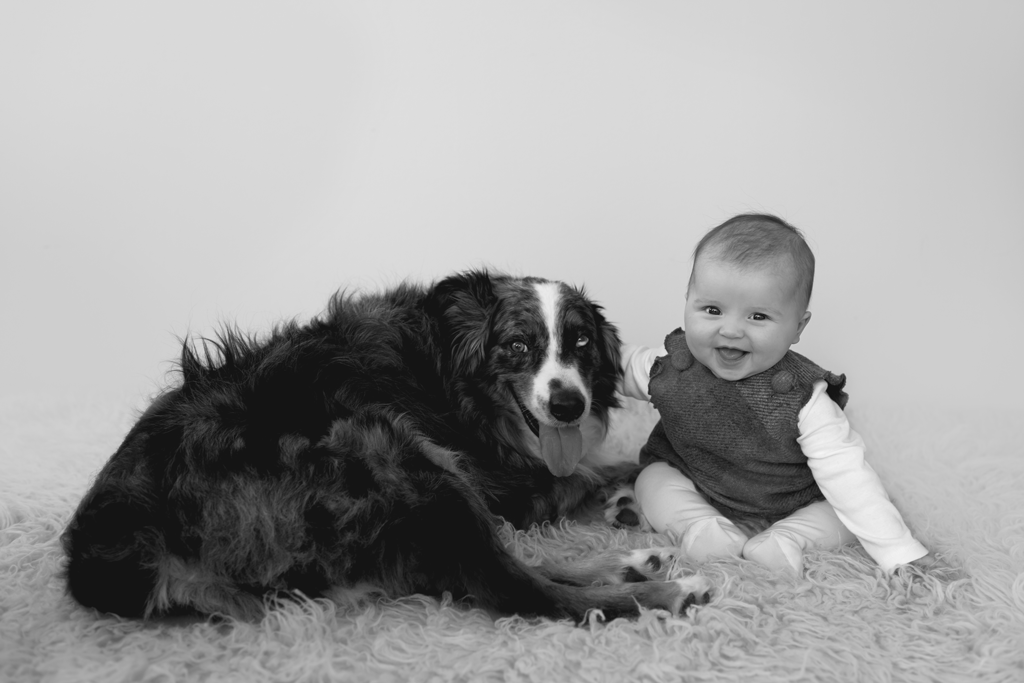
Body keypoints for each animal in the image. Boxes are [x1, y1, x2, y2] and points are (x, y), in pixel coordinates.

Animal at [59, 270, 708, 622]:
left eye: (580, 342)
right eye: (519, 346)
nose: (569, 404)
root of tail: (120, 545)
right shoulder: (508, 486)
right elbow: (594, 470)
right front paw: (622, 488)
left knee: (481, 567)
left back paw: (630, 565)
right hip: (395, 451)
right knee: (514, 587)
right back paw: (663, 590)